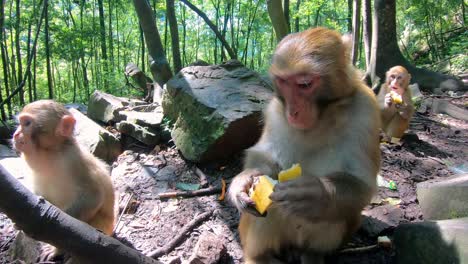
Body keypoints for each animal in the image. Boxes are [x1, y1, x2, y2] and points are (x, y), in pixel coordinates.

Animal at [12, 99, 115, 260]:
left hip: (103, 227)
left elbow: (94, 196)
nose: (16, 134)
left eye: (27, 123)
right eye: (20, 123)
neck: (50, 154)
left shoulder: (73, 160)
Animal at [229, 27, 382, 262]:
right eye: (283, 82)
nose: (293, 111)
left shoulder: (366, 110)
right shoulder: (275, 110)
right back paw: (259, 257)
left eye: (304, 84)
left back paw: (311, 254)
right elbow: (264, 155)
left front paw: (315, 195)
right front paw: (244, 180)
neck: (323, 117)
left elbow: (362, 184)